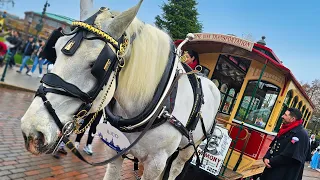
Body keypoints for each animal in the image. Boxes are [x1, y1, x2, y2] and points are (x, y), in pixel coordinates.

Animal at [19, 0, 220, 179]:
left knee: (175, 168)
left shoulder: (156, 163)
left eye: (96, 64)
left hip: (189, 148)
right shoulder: (114, 149)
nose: (32, 131)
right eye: (56, 48)